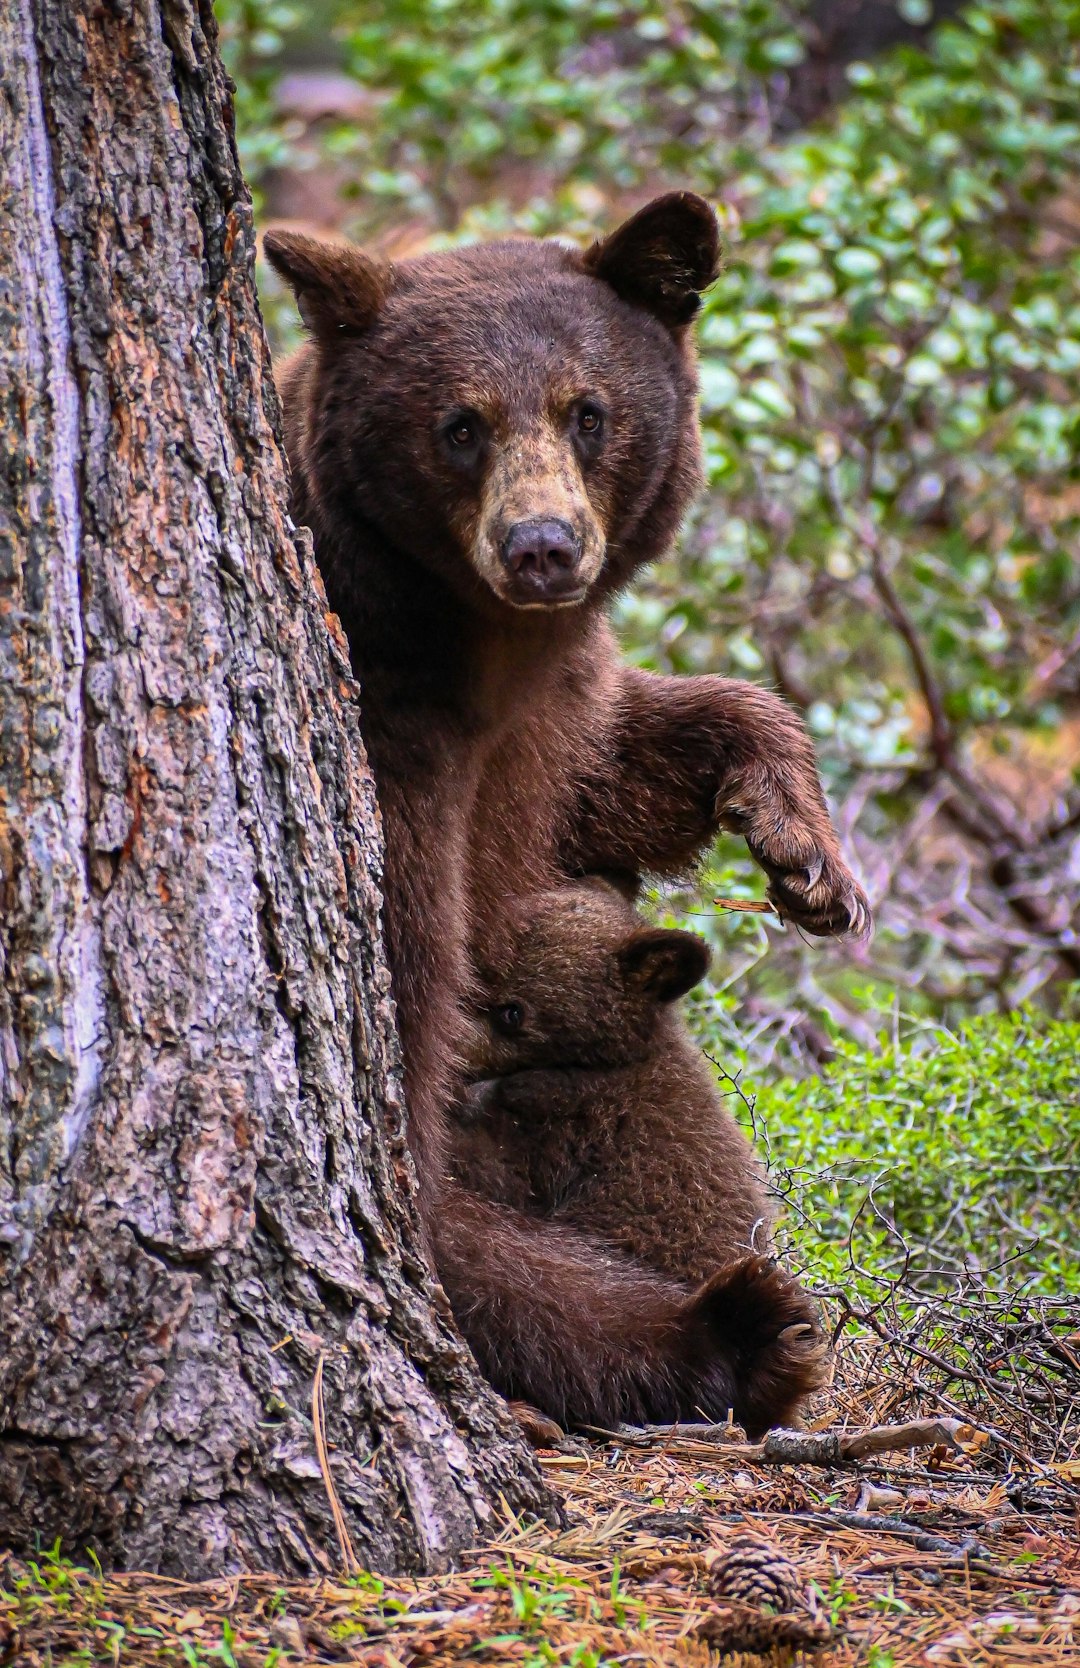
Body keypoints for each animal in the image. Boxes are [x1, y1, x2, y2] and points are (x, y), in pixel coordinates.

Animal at [264, 194, 868, 1428]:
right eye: (460, 424)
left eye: (588, 411)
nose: (542, 546)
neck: (479, 652)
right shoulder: (395, 752)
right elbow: (420, 1122)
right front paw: (712, 1331)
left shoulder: (553, 714)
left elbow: (623, 767)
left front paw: (803, 853)